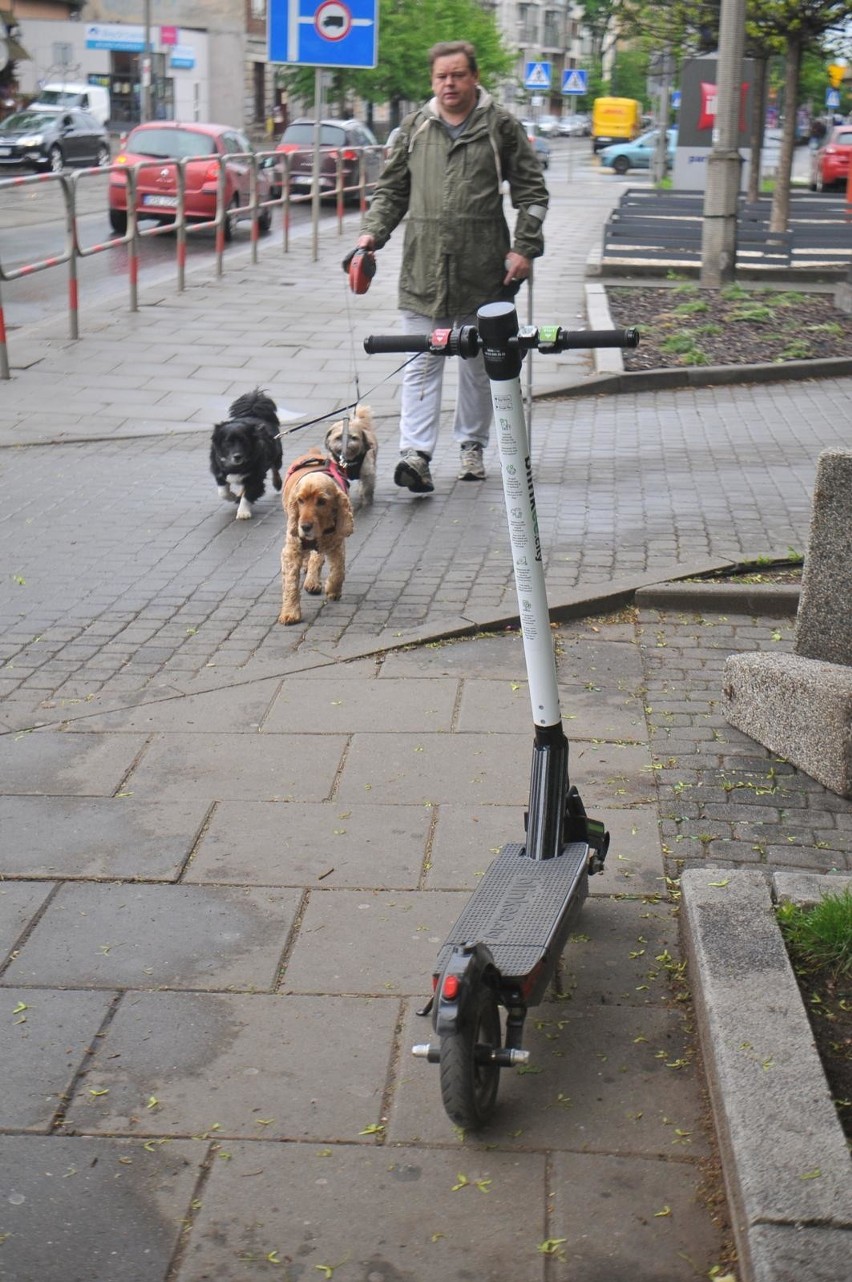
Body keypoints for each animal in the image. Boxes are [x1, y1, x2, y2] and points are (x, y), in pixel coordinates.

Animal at [208, 387, 281, 517]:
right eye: (228, 442)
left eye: (244, 441)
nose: (237, 456)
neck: (236, 467)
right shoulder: (218, 471)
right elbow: (223, 492)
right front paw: (232, 496)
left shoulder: (256, 477)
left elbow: (248, 495)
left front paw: (243, 512)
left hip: (276, 454)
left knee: (275, 468)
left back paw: (277, 483)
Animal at [275, 451, 348, 625]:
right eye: (300, 500)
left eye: (321, 501)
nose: (305, 527)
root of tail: (313, 452)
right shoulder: (291, 550)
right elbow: (290, 583)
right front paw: (290, 613)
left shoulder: (336, 543)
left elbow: (338, 570)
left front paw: (333, 590)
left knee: (316, 557)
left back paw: (312, 580)